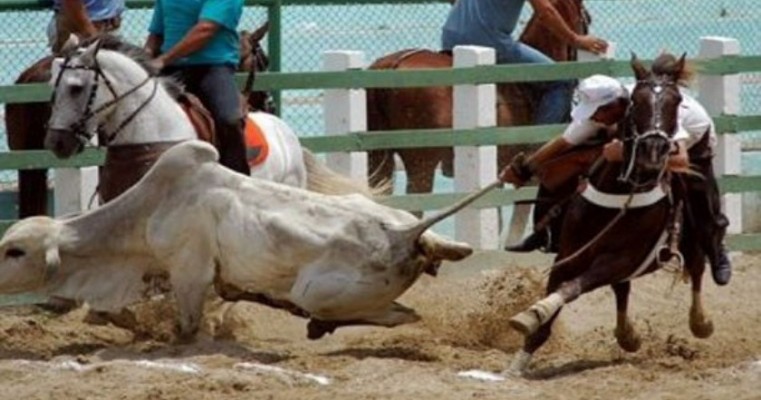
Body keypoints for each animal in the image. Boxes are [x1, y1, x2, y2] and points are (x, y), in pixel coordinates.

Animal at [0, 139, 478, 340]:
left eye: (15, 251)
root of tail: (407, 234)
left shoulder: (189, 273)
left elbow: (187, 327)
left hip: (316, 292)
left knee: (396, 316)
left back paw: (316, 324)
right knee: (408, 312)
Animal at [504, 55, 712, 376]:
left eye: (677, 101)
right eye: (635, 101)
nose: (653, 153)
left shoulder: (620, 259)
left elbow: (571, 288)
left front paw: (534, 311)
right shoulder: (569, 255)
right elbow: (554, 302)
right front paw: (517, 362)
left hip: (690, 237)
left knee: (698, 269)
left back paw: (700, 322)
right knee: (622, 289)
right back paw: (628, 336)